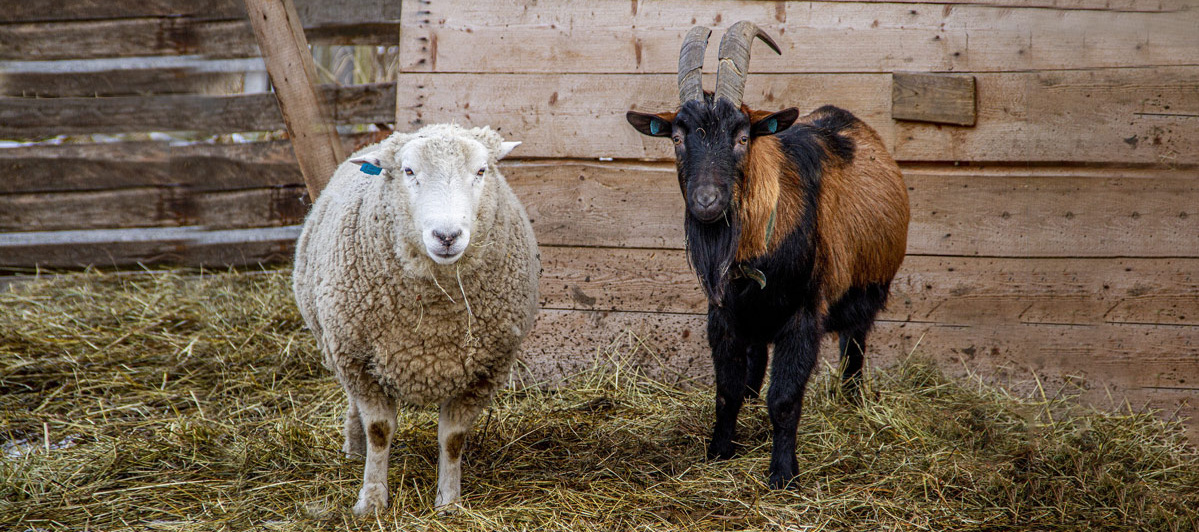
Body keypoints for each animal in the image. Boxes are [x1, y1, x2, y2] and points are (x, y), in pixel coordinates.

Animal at [291, 124, 540, 514]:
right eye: (408, 171)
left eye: (481, 171)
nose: (447, 236)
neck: (434, 314)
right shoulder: (360, 362)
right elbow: (379, 432)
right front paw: (372, 499)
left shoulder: (484, 372)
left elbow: (453, 439)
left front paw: (449, 502)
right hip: (340, 348)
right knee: (353, 405)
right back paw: (354, 448)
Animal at [626, 22, 910, 488]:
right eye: (678, 138)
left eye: (742, 137)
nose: (706, 201)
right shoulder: (724, 313)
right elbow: (727, 390)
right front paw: (719, 452)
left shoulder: (804, 314)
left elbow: (784, 399)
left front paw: (782, 475)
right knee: (754, 367)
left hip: (868, 291)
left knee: (855, 346)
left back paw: (850, 403)